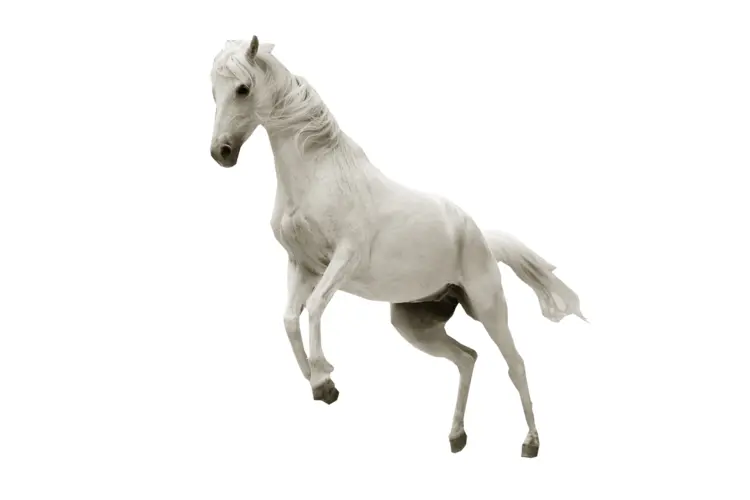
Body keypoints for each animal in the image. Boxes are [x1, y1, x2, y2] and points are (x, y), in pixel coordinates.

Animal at [208, 36, 586, 457]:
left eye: (242, 88)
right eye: (213, 91)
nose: (221, 152)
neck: (317, 174)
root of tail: (480, 237)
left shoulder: (344, 259)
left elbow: (316, 307)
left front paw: (324, 379)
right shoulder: (301, 265)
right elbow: (290, 318)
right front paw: (317, 380)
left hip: (489, 308)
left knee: (515, 364)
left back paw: (530, 442)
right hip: (413, 323)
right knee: (467, 358)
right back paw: (457, 436)